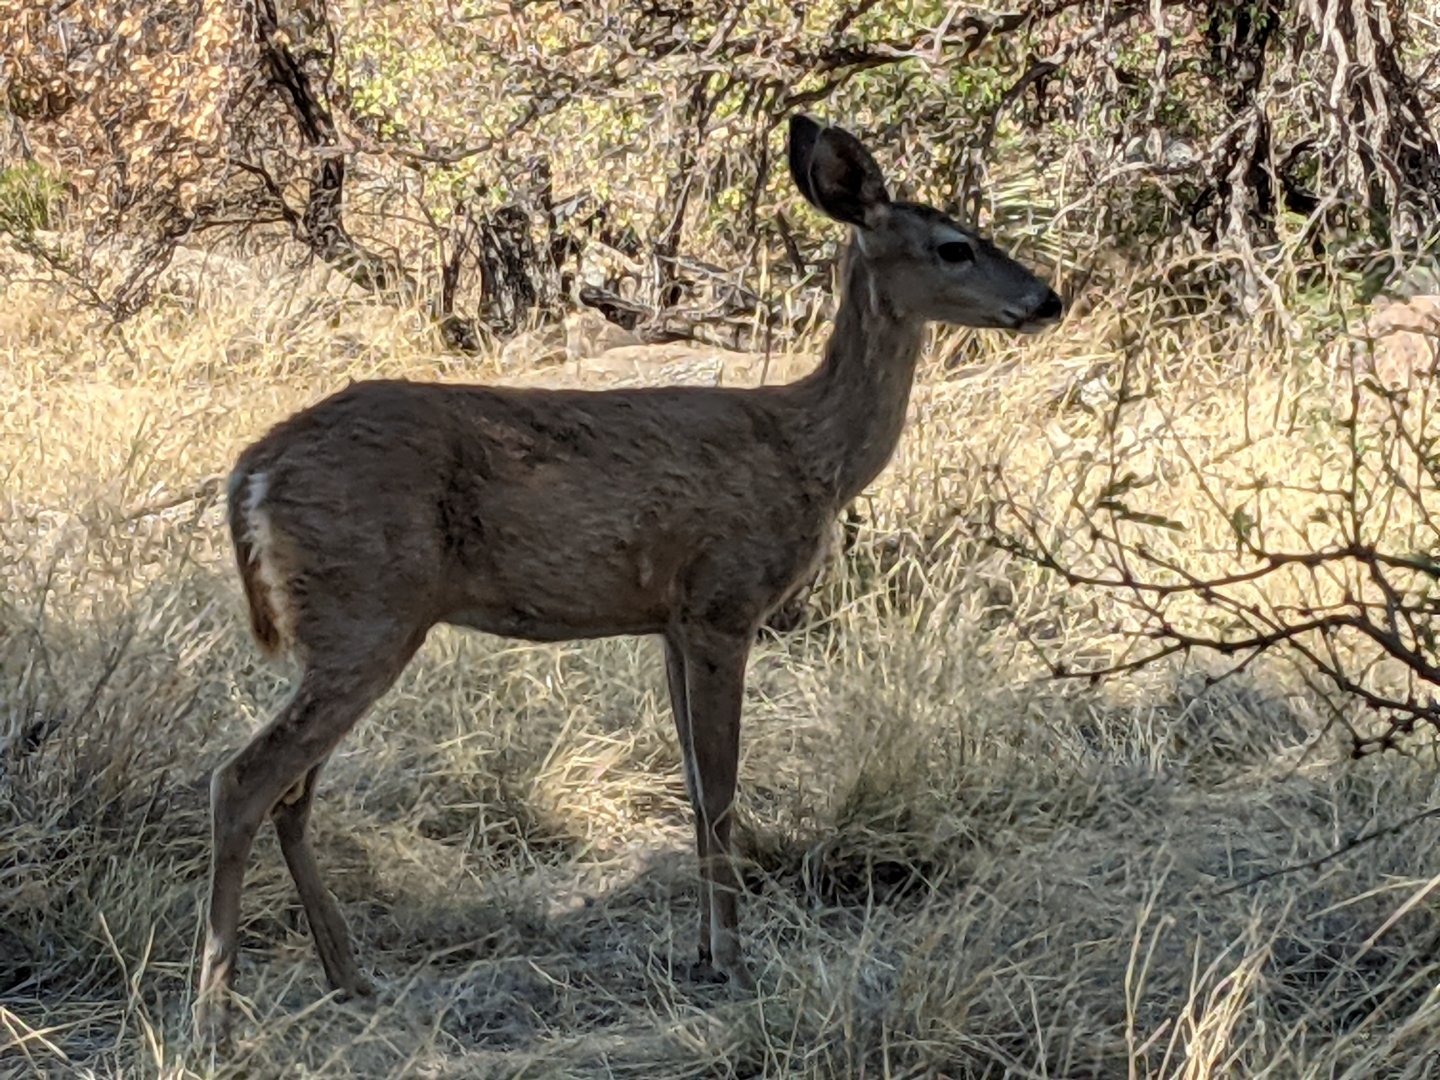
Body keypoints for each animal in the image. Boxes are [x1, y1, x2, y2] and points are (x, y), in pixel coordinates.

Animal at [196, 113, 1063, 1040]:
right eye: (954, 246)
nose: (1048, 300)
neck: (811, 451)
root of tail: (250, 470)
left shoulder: (671, 622)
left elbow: (690, 787)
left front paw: (704, 954)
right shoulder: (724, 602)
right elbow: (720, 790)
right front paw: (736, 963)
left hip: (350, 627)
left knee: (292, 794)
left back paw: (351, 979)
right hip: (365, 613)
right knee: (243, 781)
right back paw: (215, 1009)